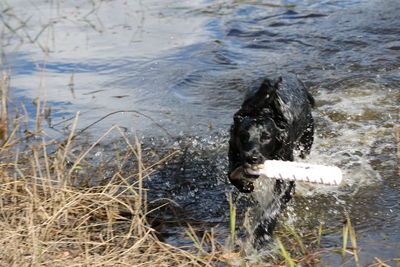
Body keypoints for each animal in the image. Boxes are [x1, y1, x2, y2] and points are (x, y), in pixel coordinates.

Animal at [230, 75, 314, 249]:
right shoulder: (233, 151)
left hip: (306, 140)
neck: (263, 110)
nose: (252, 158)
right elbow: (232, 176)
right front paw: (246, 185)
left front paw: (262, 234)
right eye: (243, 136)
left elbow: (274, 206)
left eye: (266, 137)